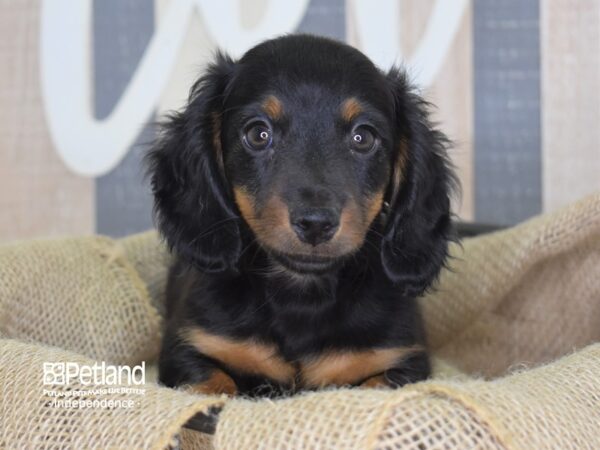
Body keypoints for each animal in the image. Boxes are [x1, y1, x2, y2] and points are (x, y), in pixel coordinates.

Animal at [149, 33, 454, 396]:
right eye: (258, 133)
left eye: (363, 137)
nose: (316, 224)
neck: (301, 296)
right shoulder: (187, 348)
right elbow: (212, 383)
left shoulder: (404, 363)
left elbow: (374, 386)